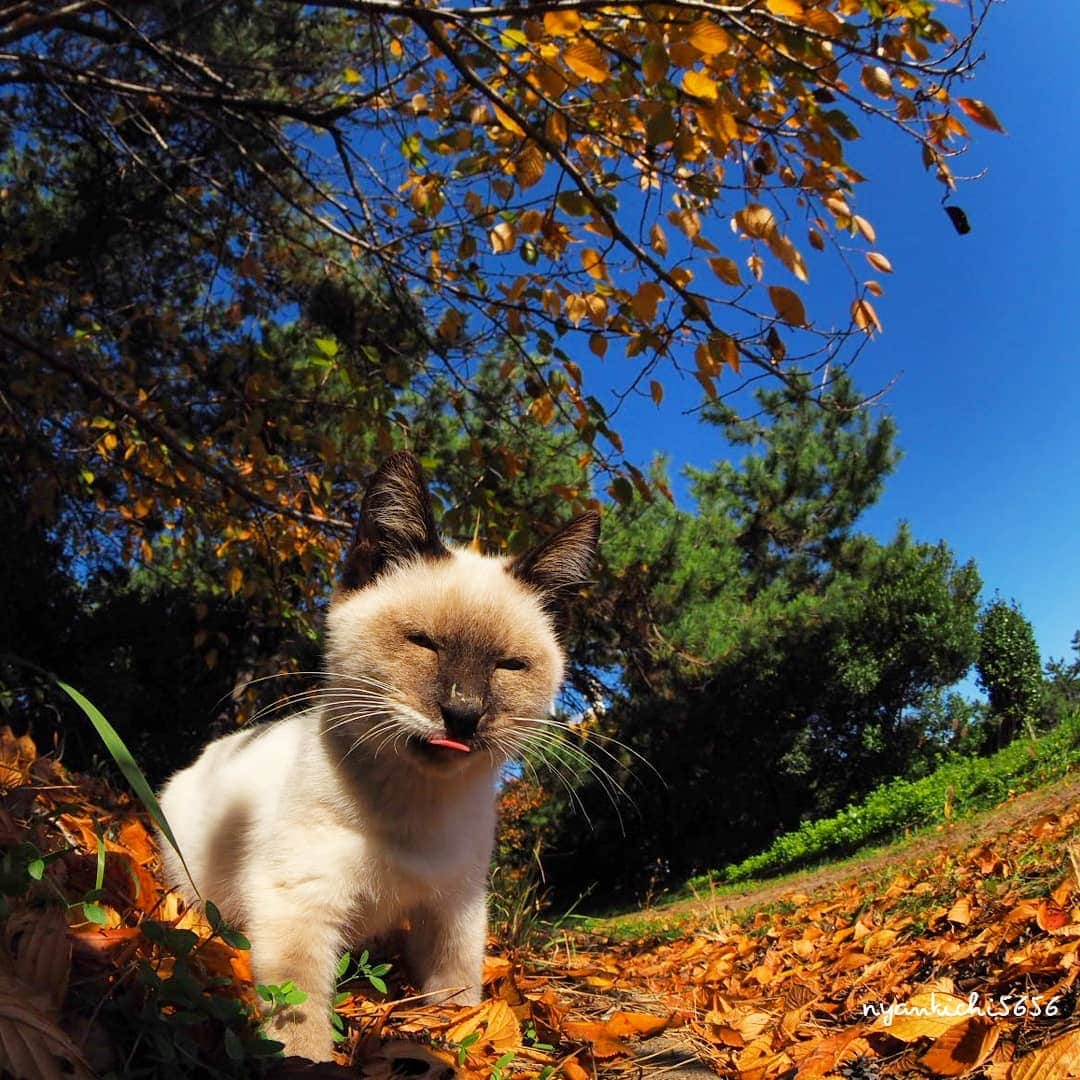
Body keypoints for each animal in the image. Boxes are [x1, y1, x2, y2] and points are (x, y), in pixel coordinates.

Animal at [155, 451, 600, 1058]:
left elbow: (459, 1004)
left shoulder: (454, 910)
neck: (415, 805)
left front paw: (462, 1039)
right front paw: (313, 1063)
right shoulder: (299, 906)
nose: (462, 713)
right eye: (422, 643)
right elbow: (299, 1026)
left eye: (509, 665)